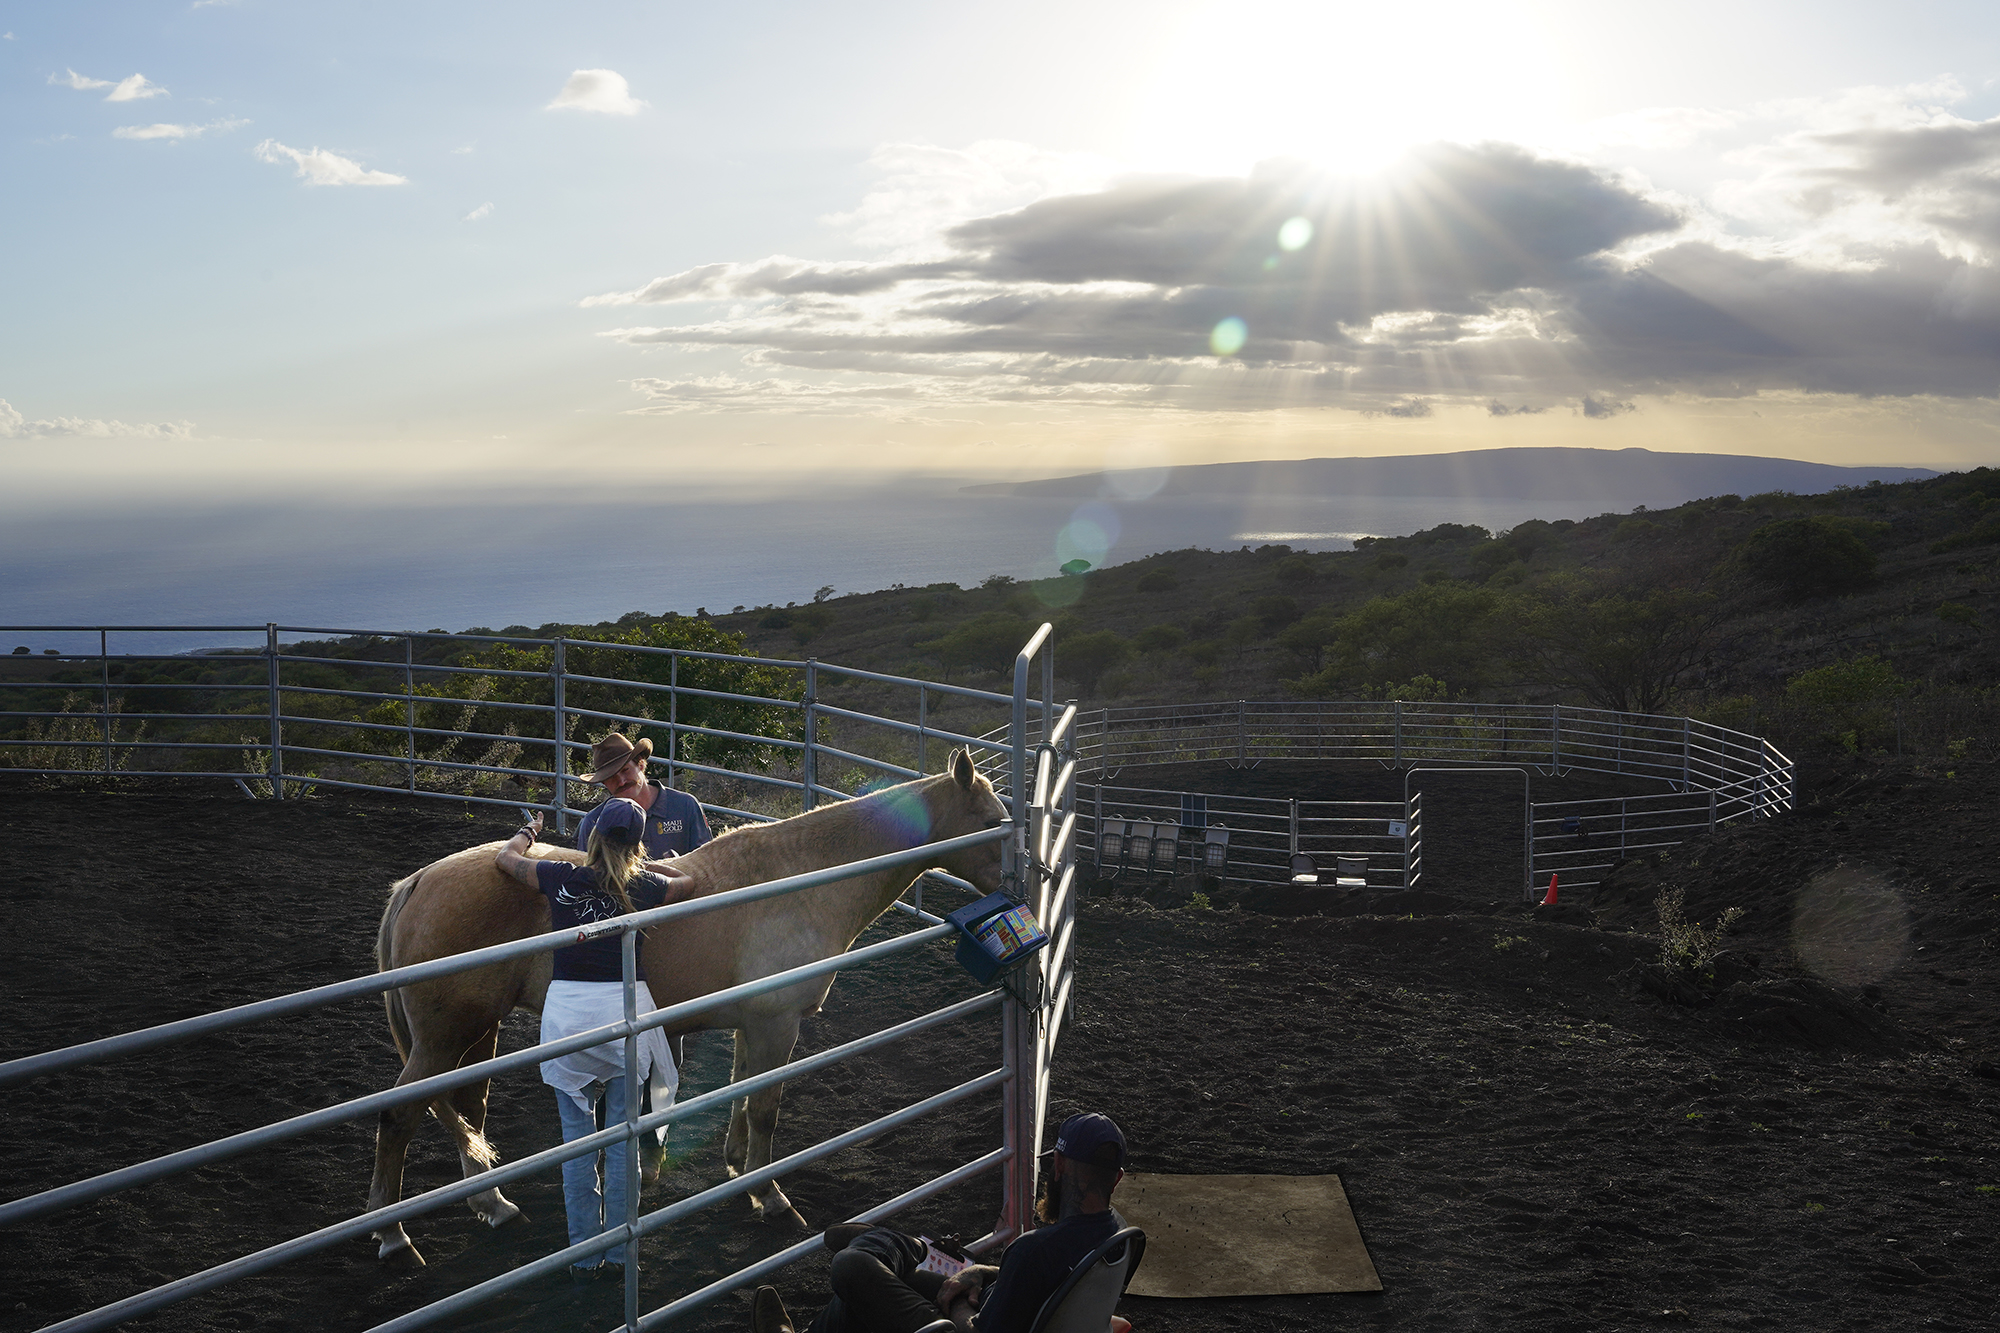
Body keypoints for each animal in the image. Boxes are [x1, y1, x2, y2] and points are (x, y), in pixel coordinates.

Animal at [368, 748, 1008, 1264]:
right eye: (992, 823)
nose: (1017, 887)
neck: (797, 883)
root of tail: (418, 882)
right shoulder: (777, 1026)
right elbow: (765, 1109)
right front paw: (771, 1196)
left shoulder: (754, 1026)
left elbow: (742, 1093)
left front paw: (738, 1169)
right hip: (446, 1038)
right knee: (401, 1116)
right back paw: (395, 1237)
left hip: (480, 1035)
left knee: (465, 1112)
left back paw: (493, 1205)